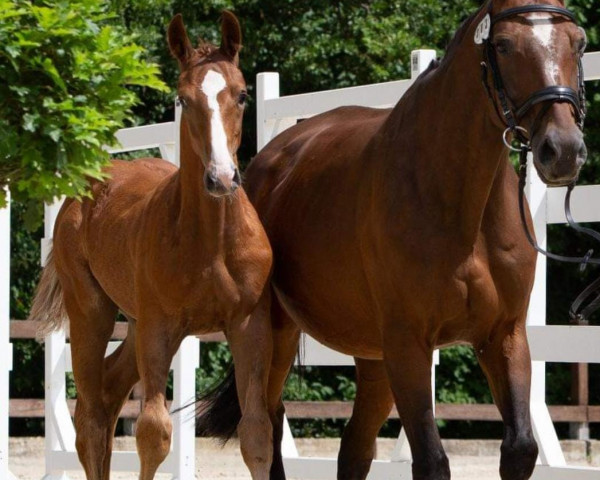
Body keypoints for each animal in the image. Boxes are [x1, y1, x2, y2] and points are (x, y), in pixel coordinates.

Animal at [28, 11, 272, 480]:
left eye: (242, 94)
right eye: (182, 99)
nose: (221, 178)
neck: (212, 242)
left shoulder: (247, 325)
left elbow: (255, 435)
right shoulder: (160, 326)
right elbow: (153, 433)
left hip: (136, 323)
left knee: (108, 394)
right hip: (93, 313)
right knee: (90, 415)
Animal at [197, 0, 584, 480]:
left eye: (578, 43)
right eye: (504, 45)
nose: (563, 150)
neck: (459, 205)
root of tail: (266, 160)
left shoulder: (505, 337)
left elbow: (519, 449)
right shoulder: (409, 345)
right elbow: (432, 460)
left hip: (374, 358)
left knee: (354, 446)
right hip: (278, 334)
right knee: (265, 423)